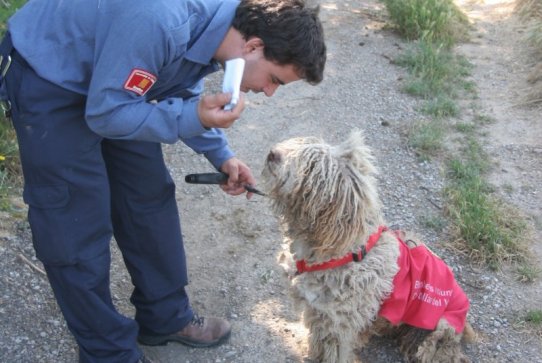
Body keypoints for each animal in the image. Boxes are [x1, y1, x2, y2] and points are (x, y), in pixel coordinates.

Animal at [262, 131, 474, 363]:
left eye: (312, 166)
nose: (272, 153)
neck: (341, 251)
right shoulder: (317, 311)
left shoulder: (337, 322)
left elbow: (332, 350)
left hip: (439, 326)